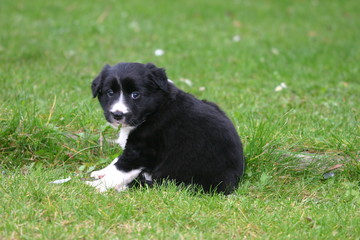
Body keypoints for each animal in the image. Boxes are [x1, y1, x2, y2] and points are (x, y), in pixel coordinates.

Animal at [87, 62, 245, 194]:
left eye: (135, 95)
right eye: (110, 93)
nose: (117, 114)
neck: (155, 109)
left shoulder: (142, 151)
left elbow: (120, 169)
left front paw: (97, 186)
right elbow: (116, 161)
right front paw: (102, 172)